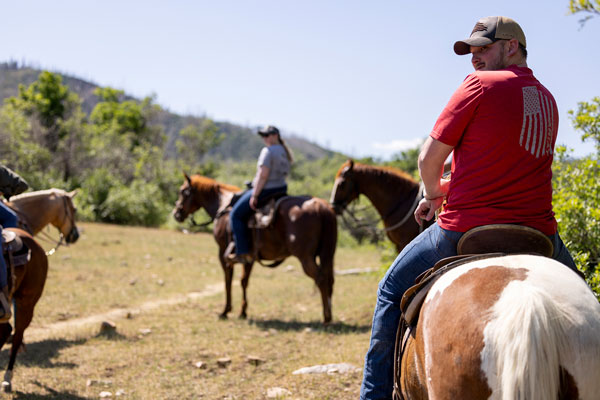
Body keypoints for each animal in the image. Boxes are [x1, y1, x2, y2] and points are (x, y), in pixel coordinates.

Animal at [172, 173, 338, 324]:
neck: (223, 206)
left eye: (182, 191)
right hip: (327, 255)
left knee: (321, 278)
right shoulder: (249, 257)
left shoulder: (223, 253)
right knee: (330, 279)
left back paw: (326, 317)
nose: (176, 213)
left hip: (305, 257)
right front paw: (243, 312)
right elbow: (244, 281)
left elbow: (228, 280)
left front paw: (225, 311)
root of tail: (321, 206)